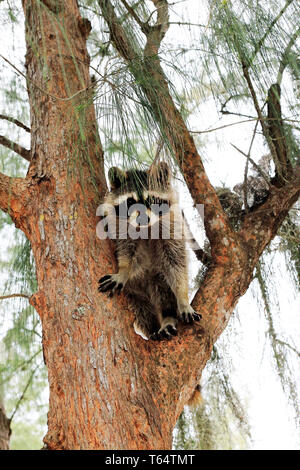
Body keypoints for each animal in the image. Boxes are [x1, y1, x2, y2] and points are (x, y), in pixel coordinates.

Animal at [98, 163, 202, 340]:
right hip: (134, 294)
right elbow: (126, 251)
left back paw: (168, 317)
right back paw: (152, 327)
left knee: (164, 289)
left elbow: (176, 262)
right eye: (130, 201)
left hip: (156, 280)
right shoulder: (119, 226)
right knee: (141, 309)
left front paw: (183, 298)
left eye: (153, 199)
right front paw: (124, 270)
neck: (146, 228)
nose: (143, 219)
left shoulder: (172, 226)